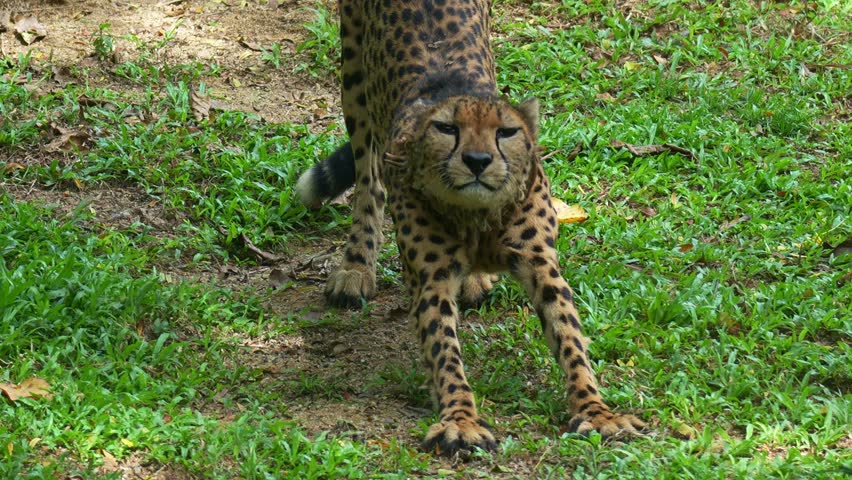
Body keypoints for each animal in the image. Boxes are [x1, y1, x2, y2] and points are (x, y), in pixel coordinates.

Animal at [295, 0, 646, 455]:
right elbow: (444, 348)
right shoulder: (431, 276)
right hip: (355, 82)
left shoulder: (541, 264)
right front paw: (460, 421)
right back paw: (356, 266)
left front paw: (597, 412)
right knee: (368, 177)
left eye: (506, 132)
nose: (478, 161)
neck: (478, 217)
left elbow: (570, 338)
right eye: (447, 129)